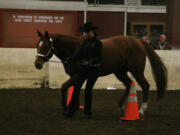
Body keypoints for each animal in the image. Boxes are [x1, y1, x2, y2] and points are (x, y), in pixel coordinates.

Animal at [34, 30, 167, 116]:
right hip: (120, 72)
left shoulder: (78, 75)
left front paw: (65, 107)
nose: (37, 64)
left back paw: (141, 110)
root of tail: (139, 41)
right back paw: (120, 105)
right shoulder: (75, 76)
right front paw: (74, 108)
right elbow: (75, 90)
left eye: (46, 45)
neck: (75, 48)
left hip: (136, 71)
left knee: (145, 85)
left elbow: (63, 87)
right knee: (129, 84)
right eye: (37, 44)